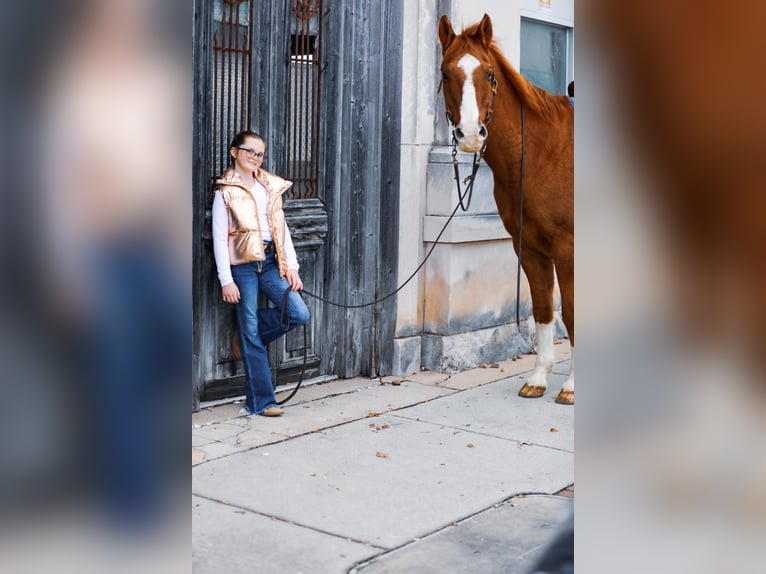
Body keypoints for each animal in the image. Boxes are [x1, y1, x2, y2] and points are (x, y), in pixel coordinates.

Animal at [437, 14, 574, 404]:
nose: (470, 135)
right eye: (446, 73)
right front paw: (539, 377)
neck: (543, 153)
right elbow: (543, 309)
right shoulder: (529, 247)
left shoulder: (569, 247)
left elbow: (573, 310)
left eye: (488, 73)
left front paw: (572, 387)